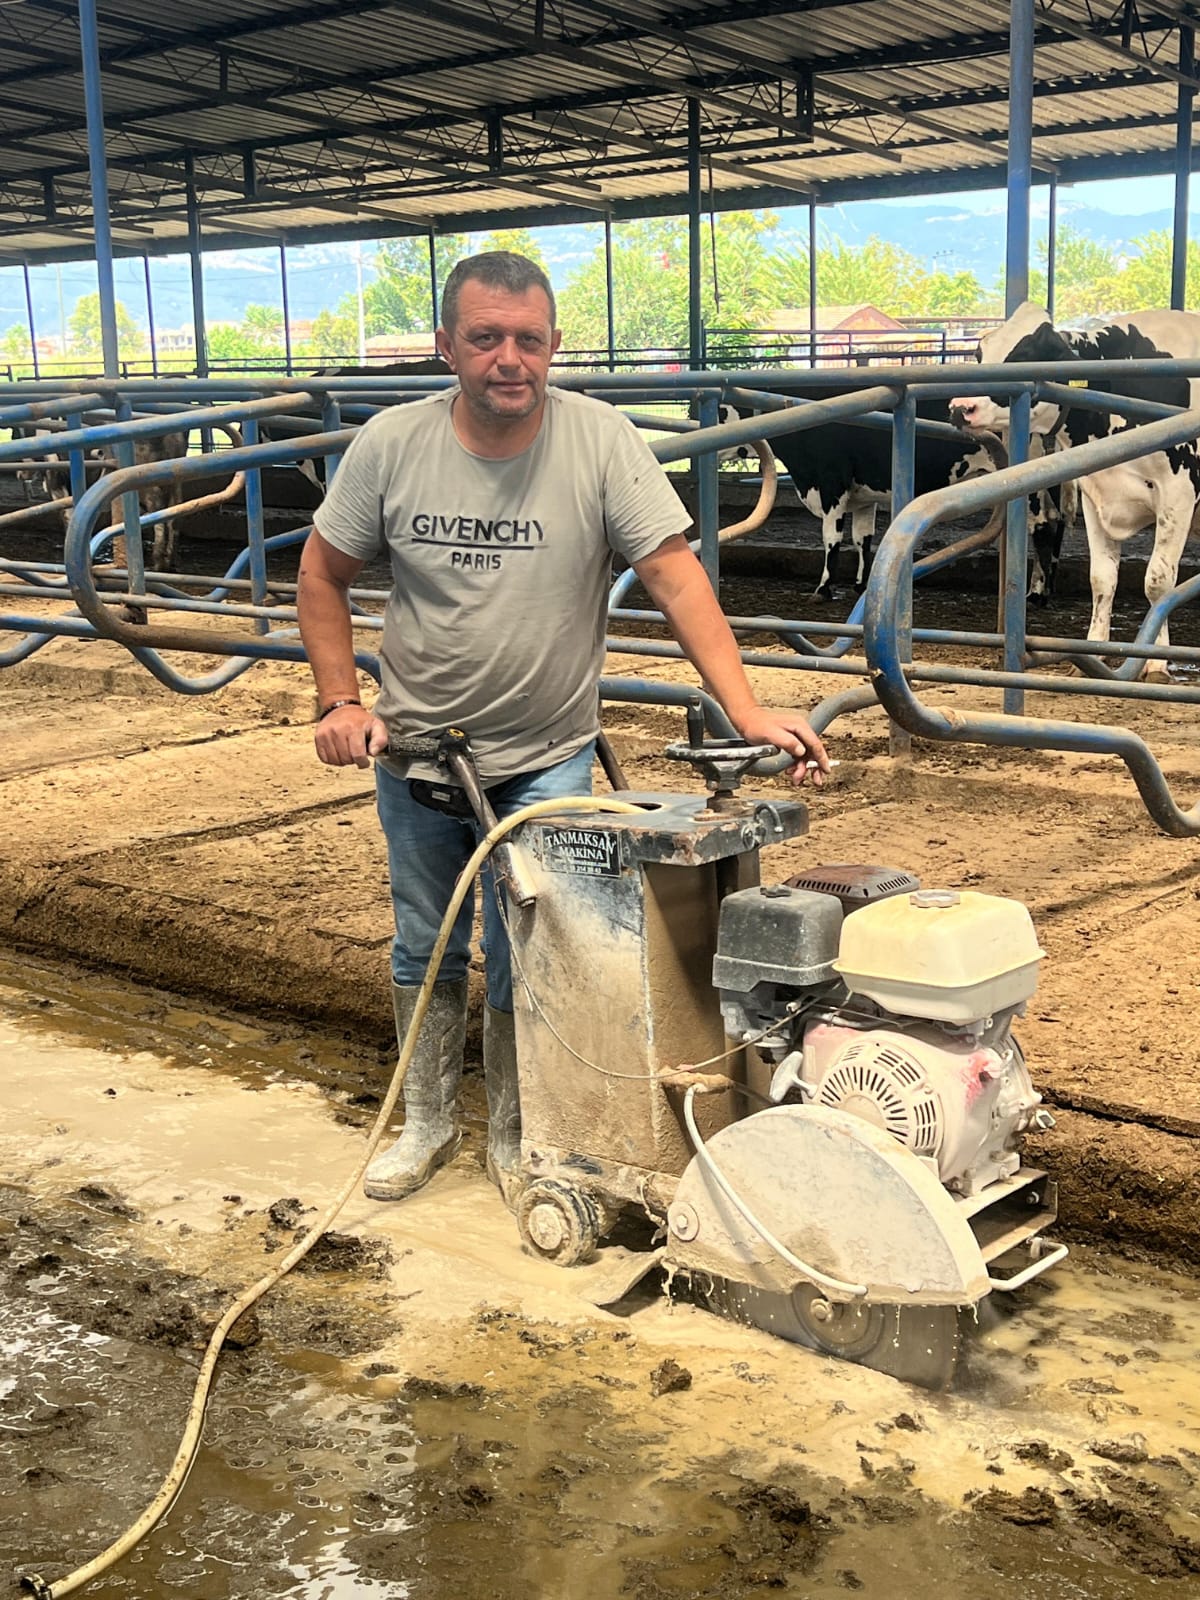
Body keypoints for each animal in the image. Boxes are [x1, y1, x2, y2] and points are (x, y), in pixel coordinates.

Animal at [950, 301, 1200, 673]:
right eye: (981, 351)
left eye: (1026, 354)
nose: (960, 407)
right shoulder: (1096, 494)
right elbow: (1102, 579)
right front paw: (1094, 651)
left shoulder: (1178, 493)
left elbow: (1158, 583)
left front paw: (1156, 663)